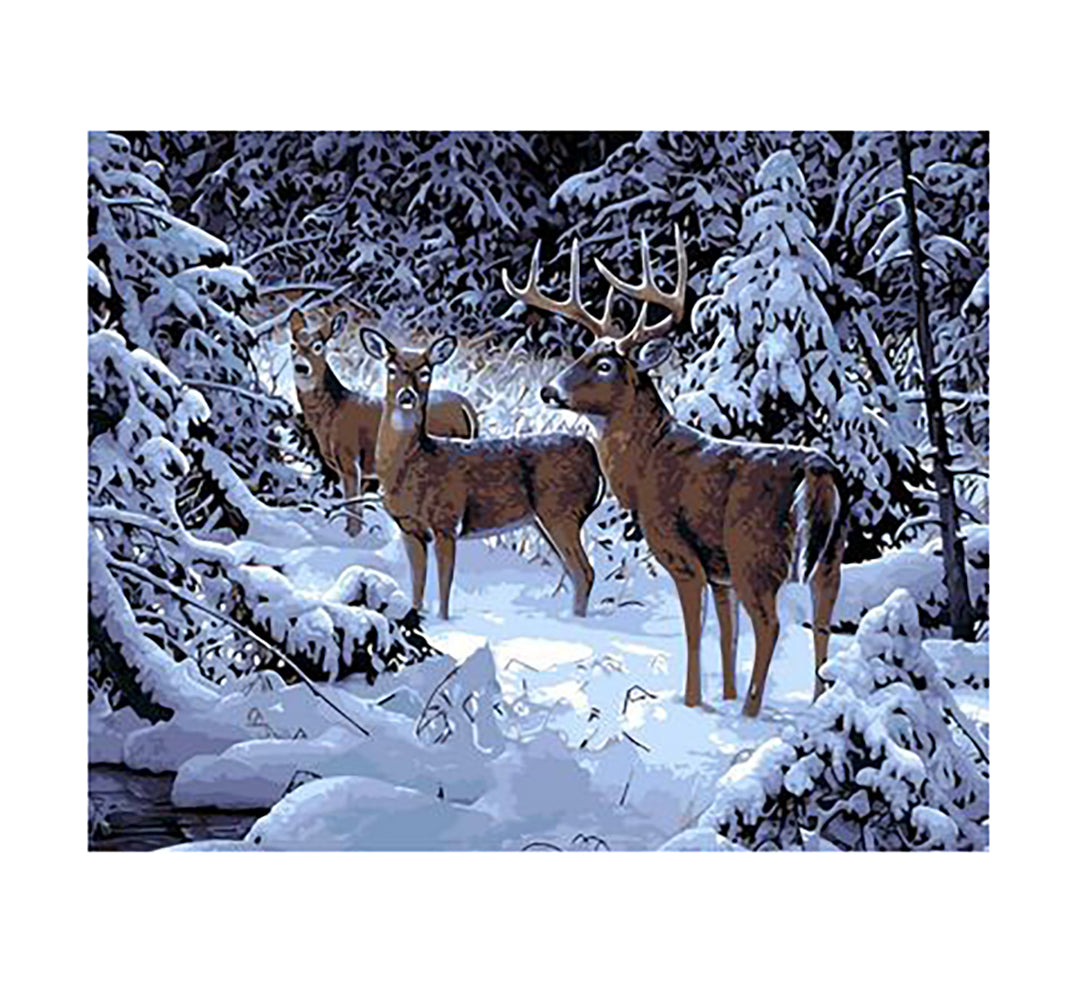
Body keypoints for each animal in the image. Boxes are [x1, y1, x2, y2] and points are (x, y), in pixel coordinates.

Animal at [289, 306, 478, 536]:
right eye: (293, 345)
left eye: (318, 346)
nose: (301, 367)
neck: (333, 413)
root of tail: (466, 406)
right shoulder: (366, 473)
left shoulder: (350, 456)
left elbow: (353, 508)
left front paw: (352, 537)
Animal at [358, 326, 604, 621]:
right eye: (391, 368)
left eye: (426, 371)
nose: (407, 396)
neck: (415, 465)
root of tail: (593, 456)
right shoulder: (409, 527)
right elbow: (418, 583)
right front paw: (417, 615)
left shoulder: (447, 521)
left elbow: (445, 583)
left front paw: (443, 621)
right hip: (545, 520)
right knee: (575, 571)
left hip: (561, 511)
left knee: (584, 571)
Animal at [504, 227, 849, 718]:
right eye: (581, 353)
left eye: (605, 365)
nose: (549, 390)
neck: (646, 465)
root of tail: (818, 468)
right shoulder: (719, 570)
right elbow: (727, 636)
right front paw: (723, 695)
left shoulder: (682, 554)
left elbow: (695, 633)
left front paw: (693, 703)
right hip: (830, 556)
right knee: (821, 624)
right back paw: (819, 704)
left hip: (755, 552)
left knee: (771, 625)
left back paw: (752, 712)